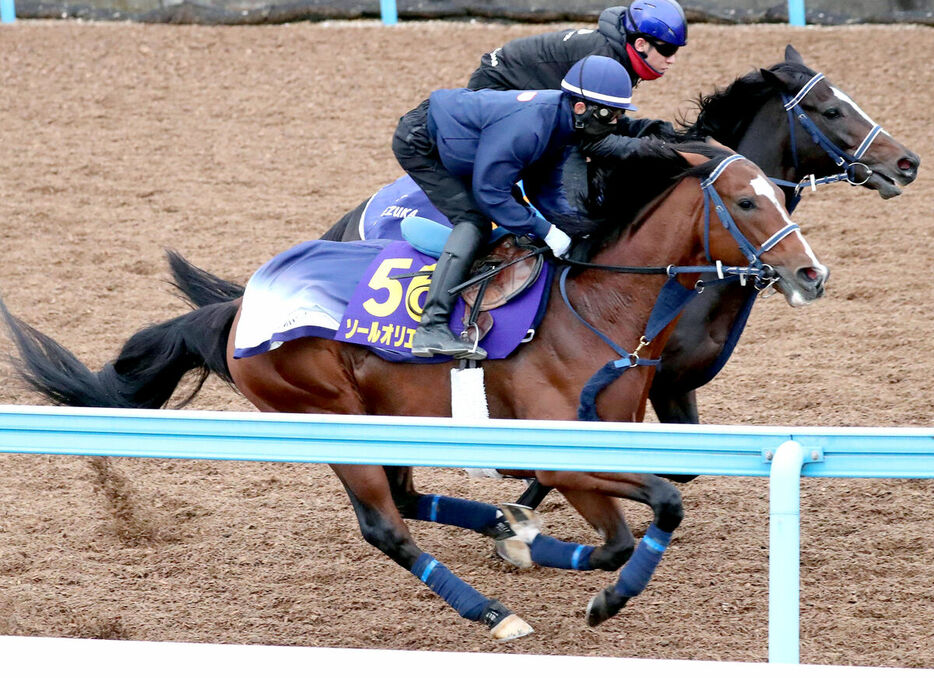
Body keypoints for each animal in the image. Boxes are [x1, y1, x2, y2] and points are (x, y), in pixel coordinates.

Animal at [3, 143, 828, 644]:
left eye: (782, 197)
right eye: (747, 204)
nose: (811, 274)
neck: (595, 308)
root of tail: (240, 310)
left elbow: (637, 521)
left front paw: (529, 543)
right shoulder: (562, 457)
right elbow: (653, 511)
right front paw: (602, 595)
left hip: (384, 416)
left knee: (405, 498)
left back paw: (502, 534)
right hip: (330, 419)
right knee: (385, 527)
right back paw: (492, 614)